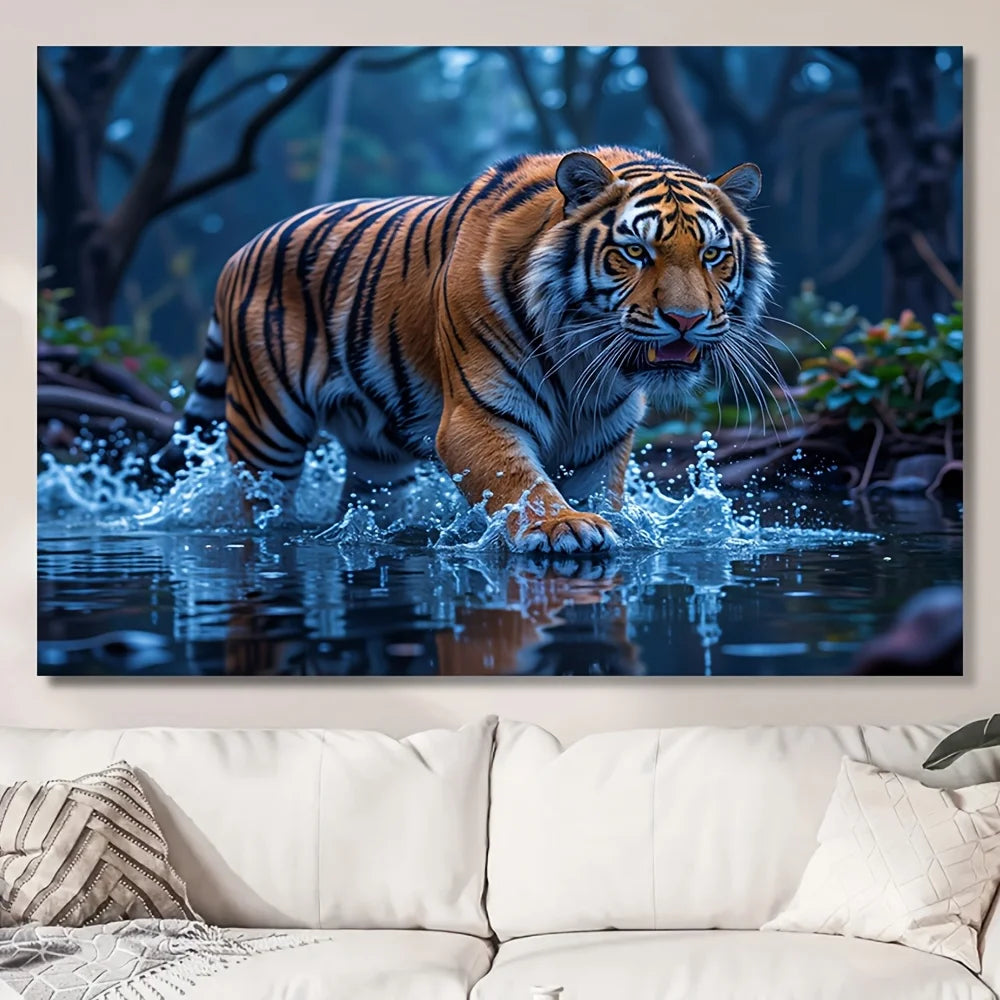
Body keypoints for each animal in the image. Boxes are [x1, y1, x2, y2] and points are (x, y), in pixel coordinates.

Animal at [159, 146, 774, 553]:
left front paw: (605, 525)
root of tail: (240, 250)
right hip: (265, 428)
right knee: (257, 498)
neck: (583, 359)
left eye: (713, 255)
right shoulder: (476, 416)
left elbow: (599, 493)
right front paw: (563, 527)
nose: (686, 320)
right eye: (636, 252)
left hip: (376, 456)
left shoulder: (601, 435)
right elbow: (520, 481)